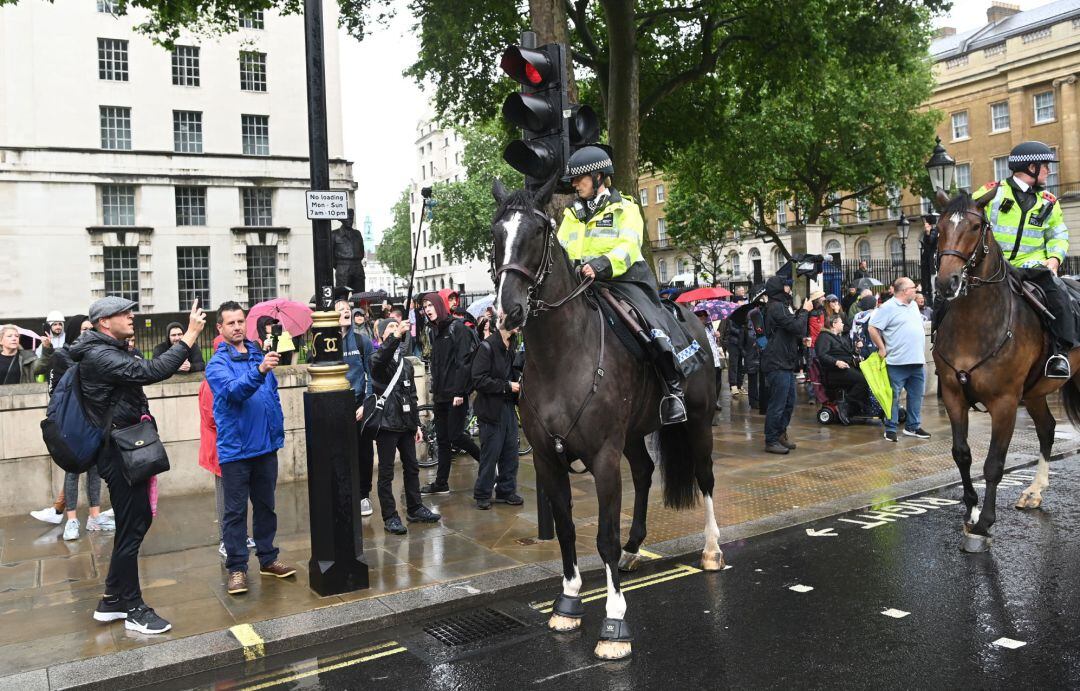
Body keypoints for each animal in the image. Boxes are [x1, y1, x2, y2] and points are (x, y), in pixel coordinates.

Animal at [928, 187, 1080, 550]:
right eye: (939, 228)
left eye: (976, 226)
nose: (947, 283)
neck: (975, 323)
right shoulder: (953, 394)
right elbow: (962, 454)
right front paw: (970, 511)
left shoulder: (1005, 402)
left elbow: (994, 464)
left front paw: (984, 522)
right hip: (1036, 392)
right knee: (1047, 429)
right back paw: (1035, 491)